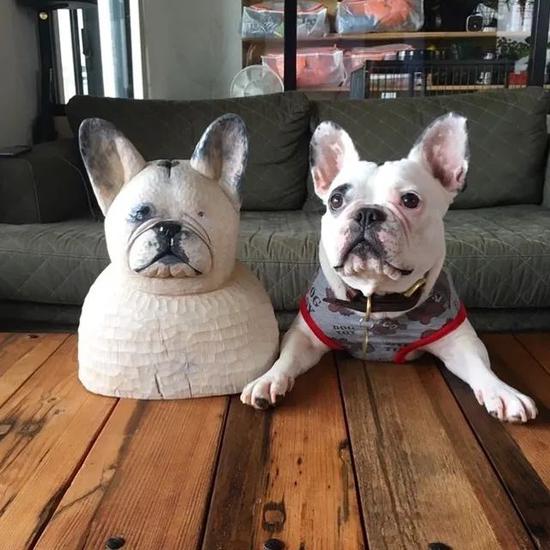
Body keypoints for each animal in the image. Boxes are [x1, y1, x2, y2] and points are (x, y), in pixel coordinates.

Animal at [241, 113, 537, 423]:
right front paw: (268, 380)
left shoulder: (460, 342)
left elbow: (480, 366)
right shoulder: (305, 337)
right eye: (336, 200)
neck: (375, 298)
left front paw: (502, 391)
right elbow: (286, 357)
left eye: (410, 200)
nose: (367, 213)